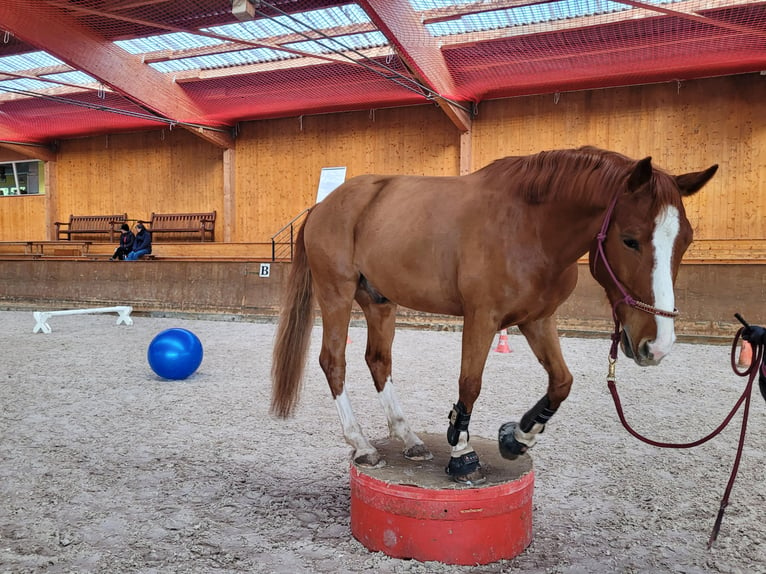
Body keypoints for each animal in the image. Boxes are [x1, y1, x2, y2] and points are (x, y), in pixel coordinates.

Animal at [272, 146, 720, 484]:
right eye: (630, 240)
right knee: (334, 361)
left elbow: (562, 382)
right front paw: (461, 450)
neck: (530, 226)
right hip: (336, 294)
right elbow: (470, 384)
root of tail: (324, 205)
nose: (657, 345)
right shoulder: (481, 318)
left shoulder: (538, 320)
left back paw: (408, 437)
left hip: (379, 302)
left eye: (685, 240)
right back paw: (362, 444)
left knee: (378, 361)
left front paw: (517, 437)